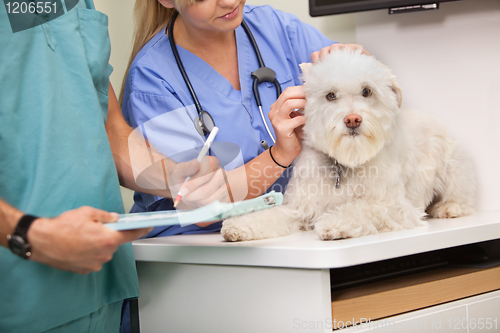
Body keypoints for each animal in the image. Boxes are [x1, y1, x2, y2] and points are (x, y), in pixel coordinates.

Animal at [221, 49, 474, 240]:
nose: (352, 119)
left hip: (454, 165)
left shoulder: (394, 207)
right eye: (330, 95)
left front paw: (333, 223)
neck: (344, 162)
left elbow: (359, 209)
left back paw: (447, 208)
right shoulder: (299, 208)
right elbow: (272, 216)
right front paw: (238, 225)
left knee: (462, 198)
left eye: (367, 91)